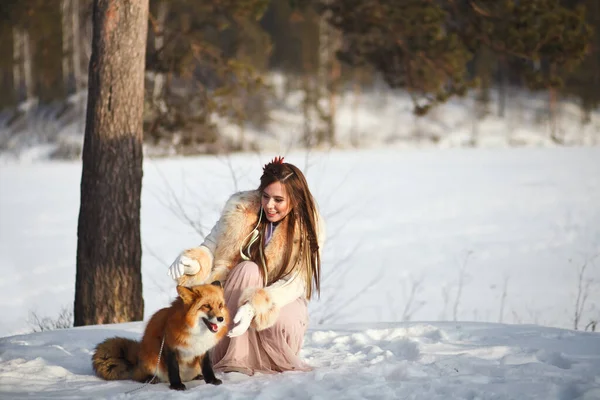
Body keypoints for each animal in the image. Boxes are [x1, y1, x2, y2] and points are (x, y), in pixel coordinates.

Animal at [91, 282, 230, 390]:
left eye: (220, 306)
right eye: (206, 306)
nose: (221, 318)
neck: (196, 332)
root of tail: (138, 355)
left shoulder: (203, 349)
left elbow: (207, 367)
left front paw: (212, 381)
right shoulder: (170, 347)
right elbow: (173, 369)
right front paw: (176, 386)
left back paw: (197, 376)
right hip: (151, 360)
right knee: (137, 376)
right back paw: (150, 379)